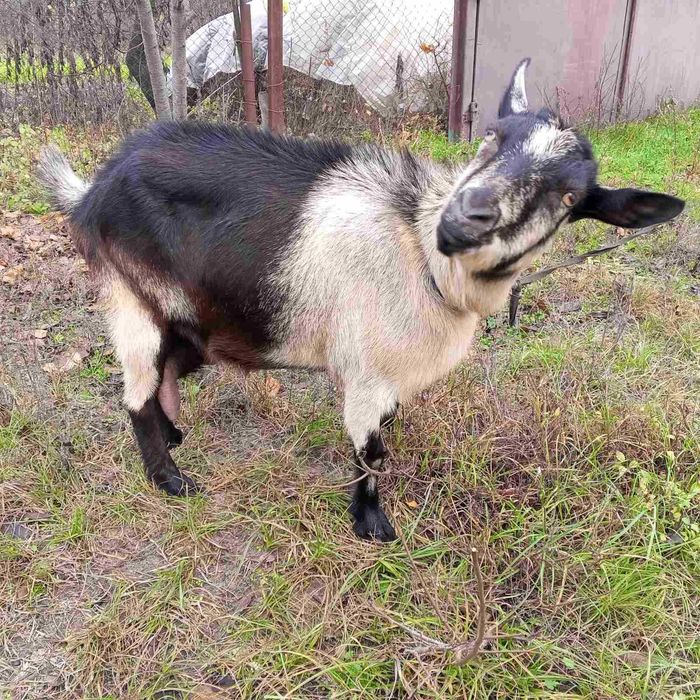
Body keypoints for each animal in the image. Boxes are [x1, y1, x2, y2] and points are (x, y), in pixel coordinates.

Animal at [38, 59, 684, 541]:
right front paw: (371, 523)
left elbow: (386, 435)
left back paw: (174, 438)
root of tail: (94, 188)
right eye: (491, 138)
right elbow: (370, 450)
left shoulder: (391, 376)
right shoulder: (368, 370)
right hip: (132, 295)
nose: (466, 217)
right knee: (136, 393)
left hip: (193, 313)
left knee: (167, 368)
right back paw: (170, 478)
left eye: (569, 197)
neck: (420, 254)